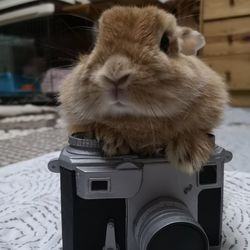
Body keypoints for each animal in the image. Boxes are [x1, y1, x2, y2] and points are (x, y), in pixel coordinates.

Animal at [59, 6, 229, 174]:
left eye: (165, 42)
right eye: (95, 43)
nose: (114, 74)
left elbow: (195, 130)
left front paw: (189, 156)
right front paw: (112, 141)